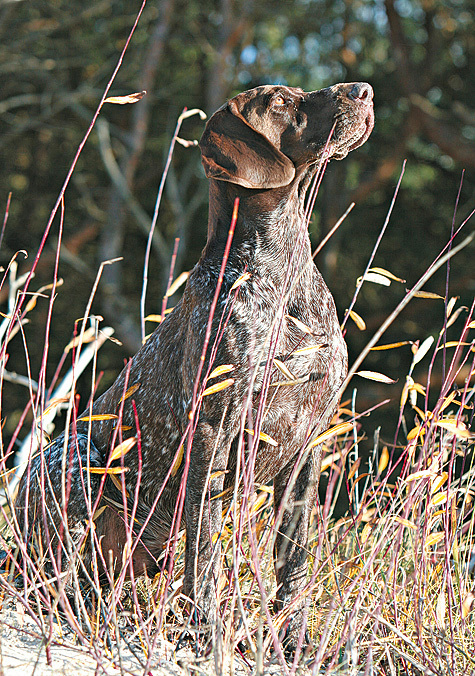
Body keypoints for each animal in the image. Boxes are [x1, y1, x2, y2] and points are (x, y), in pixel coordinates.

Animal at [15, 80, 376, 656]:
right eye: (282, 101)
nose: (363, 91)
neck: (282, 273)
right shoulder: (211, 430)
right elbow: (204, 552)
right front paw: (206, 631)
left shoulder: (307, 442)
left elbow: (294, 560)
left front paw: (292, 637)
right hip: (75, 465)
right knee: (59, 577)